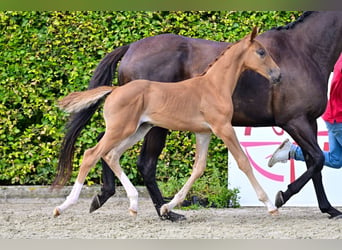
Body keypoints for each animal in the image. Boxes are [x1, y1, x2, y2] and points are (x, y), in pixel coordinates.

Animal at [55, 12, 342, 221]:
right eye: (261, 52)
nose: (277, 75)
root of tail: (129, 49)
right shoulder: (290, 121)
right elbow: (303, 160)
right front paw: (278, 199)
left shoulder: (305, 122)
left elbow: (313, 162)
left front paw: (328, 208)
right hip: (145, 128)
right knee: (121, 158)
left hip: (139, 127)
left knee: (110, 153)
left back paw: (130, 202)